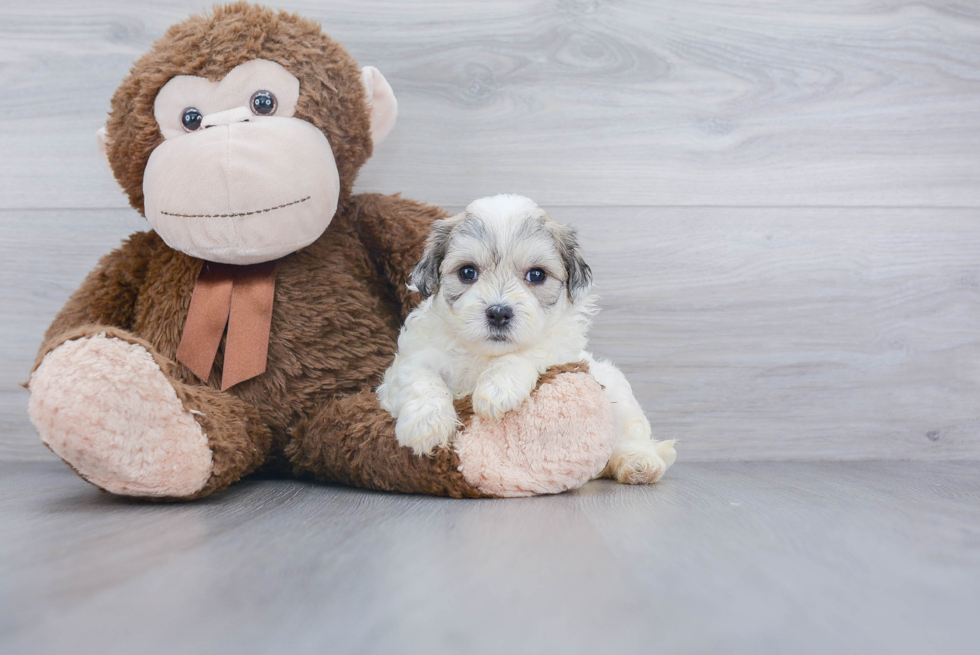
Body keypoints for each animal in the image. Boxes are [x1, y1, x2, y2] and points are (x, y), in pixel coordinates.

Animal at [378, 192, 676, 484]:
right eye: (467, 272)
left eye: (536, 274)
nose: (498, 313)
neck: (485, 354)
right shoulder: (410, 361)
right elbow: (419, 377)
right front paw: (425, 423)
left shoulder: (560, 350)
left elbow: (527, 352)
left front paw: (497, 388)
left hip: (619, 395)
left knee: (629, 436)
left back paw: (638, 463)